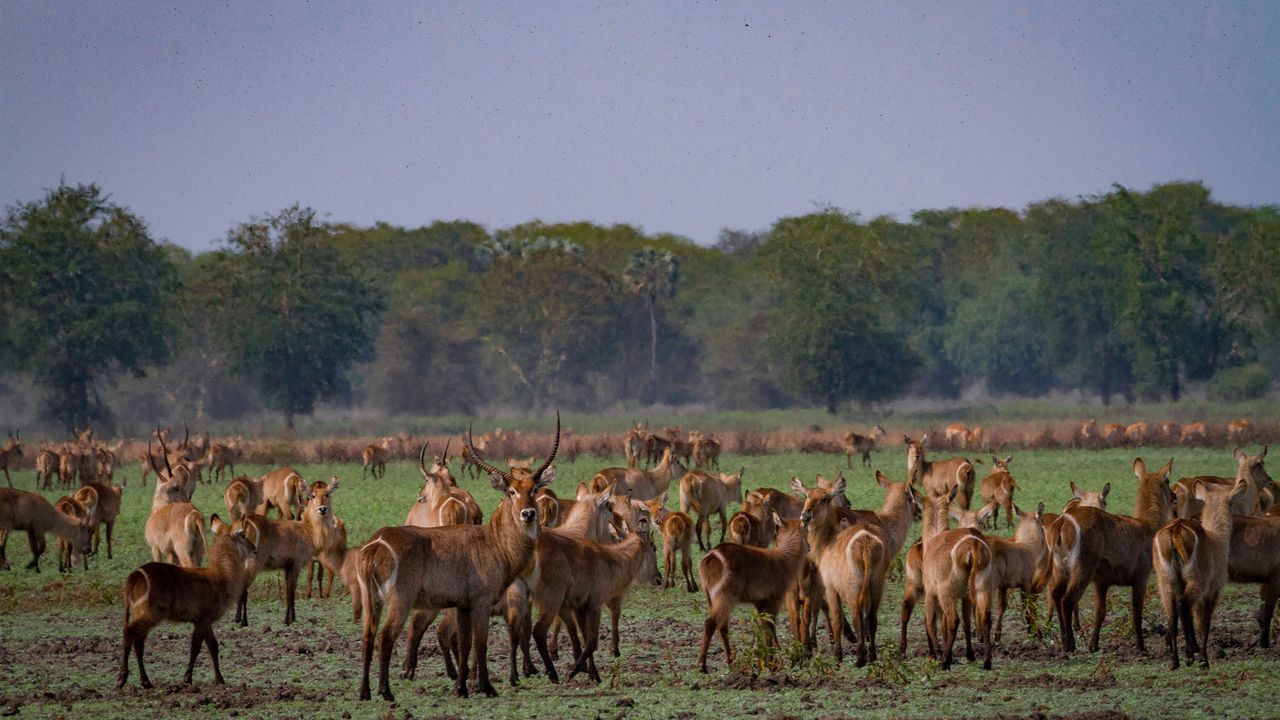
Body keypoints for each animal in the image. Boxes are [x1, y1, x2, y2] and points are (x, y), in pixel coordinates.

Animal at [117, 512, 259, 686]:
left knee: (138, 641)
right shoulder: (203, 619)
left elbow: (213, 646)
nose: (254, 549)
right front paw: (187, 677)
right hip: (151, 614)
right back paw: (122, 678)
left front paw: (219, 679)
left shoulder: (205, 621)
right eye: (243, 535)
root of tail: (137, 574)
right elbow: (196, 646)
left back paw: (146, 682)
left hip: (141, 613)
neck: (222, 575)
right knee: (129, 633)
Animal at [360, 415, 560, 696]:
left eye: (533, 488)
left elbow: (465, 644)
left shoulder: (463, 606)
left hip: (371, 601)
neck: (495, 542)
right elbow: (480, 643)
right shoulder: (481, 602)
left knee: (367, 637)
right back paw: (386, 692)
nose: (528, 514)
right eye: (511, 492)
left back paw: (364, 693)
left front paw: (462, 687)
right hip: (400, 600)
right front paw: (486, 687)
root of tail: (378, 543)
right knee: (385, 636)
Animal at [696, 512, 803, 671]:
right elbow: (770, 627)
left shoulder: (759, 602)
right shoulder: (774, 599)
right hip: (724, 597)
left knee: (722, 627)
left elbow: (763, 627)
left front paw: (767, 657)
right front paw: (773, 663)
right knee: (710, 623)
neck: (785, 559)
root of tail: (712, 555)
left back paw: (731, 662)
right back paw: (702, 666)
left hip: (711, 598)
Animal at [1039, 456, 1172, 653]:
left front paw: (1094, 645)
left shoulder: (1102, 581)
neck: (1148, 526)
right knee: (1068, 600)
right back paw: (1070, 645)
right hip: (1082, 566)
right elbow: (1136, 612)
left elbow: (1100, 611)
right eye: (1168, 481)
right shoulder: (1141, 576)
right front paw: (1142, 647)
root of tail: (1062, 521)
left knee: (1055, 594)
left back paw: (1063, 641)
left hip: (1060, 566)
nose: (1175, 496)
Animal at [1157, 476, 1244, 666]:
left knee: (1172, 614)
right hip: (1196, 580)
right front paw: (1203, 659)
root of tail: (1175, 529)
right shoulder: (1213, 589)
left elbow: (1194, 619)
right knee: (1183, 608)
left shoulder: (1182, 586)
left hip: (1167, 581)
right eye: (1232, 502)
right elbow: (1204, 622)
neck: (1218, 538)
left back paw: (1175, 661)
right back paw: (1192, 655)